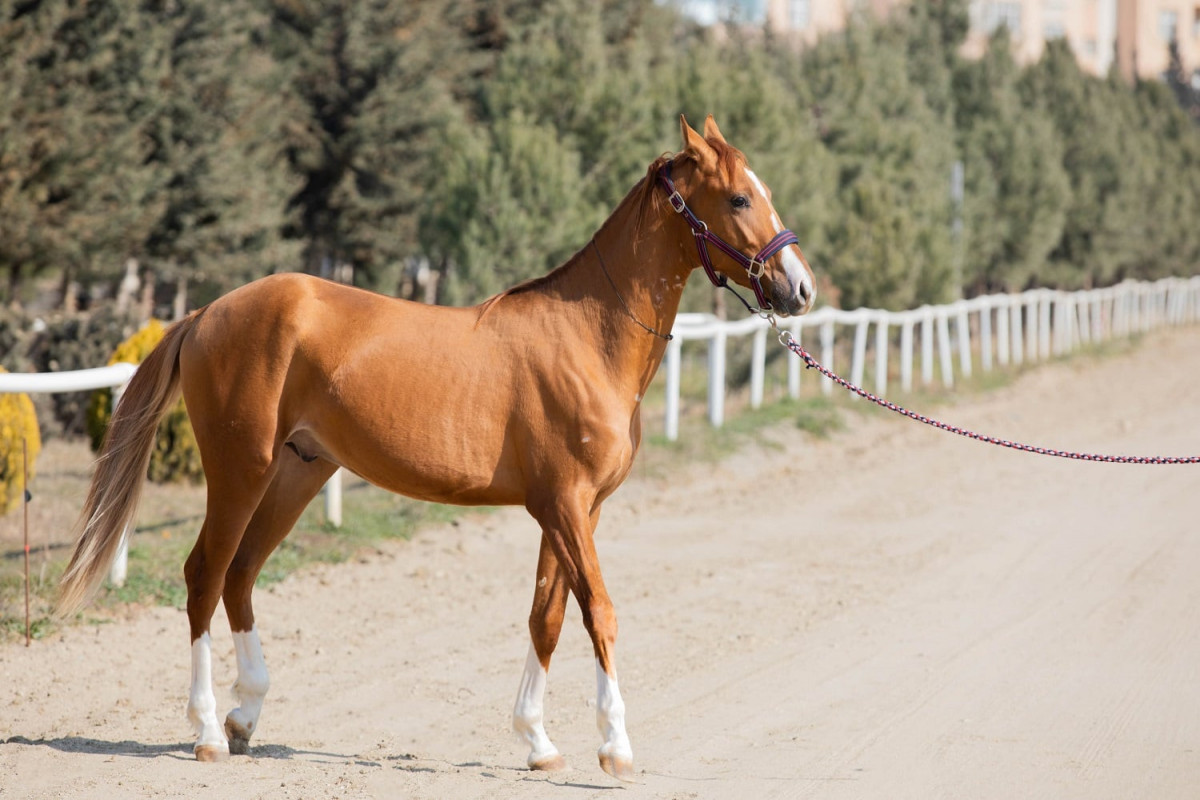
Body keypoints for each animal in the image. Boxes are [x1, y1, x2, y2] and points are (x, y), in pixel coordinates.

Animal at [58, 115, 816, 777]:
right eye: (740, 196)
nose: (799, 287)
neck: (587, 337)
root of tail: (208, 312)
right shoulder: (567, 507)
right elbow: (598, 612)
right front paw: (616, 747)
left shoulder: (573, 511)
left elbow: (547, 616)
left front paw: (538, 743)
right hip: (239, 472)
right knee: (205, 577)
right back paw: (210, 732)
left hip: (298, 473)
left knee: (241, 575)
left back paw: (247, 716)